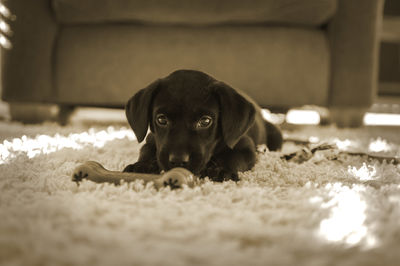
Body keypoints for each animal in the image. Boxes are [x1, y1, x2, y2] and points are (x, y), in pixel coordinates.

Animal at [123, 69, 282, 181]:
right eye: (161, 120)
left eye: (205, 121)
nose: (178, 160)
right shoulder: (151, 141)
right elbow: (146, 151)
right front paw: (141, 166)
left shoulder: (245, 147)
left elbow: (233, 158)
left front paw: (222, 170)